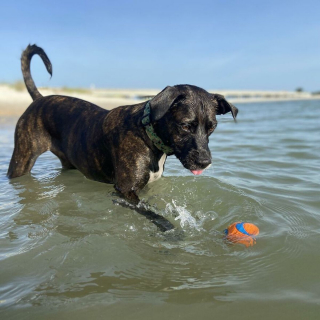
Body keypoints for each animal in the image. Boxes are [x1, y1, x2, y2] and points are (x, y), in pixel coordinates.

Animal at [7, 44, 239, 230]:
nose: (205, 162)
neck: (148, 134)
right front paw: (171, 229)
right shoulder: (125, 191)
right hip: (21, 160)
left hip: (68, 163)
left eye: (212, 127)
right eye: (185, 126)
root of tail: (39, 99)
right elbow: (152, 212)